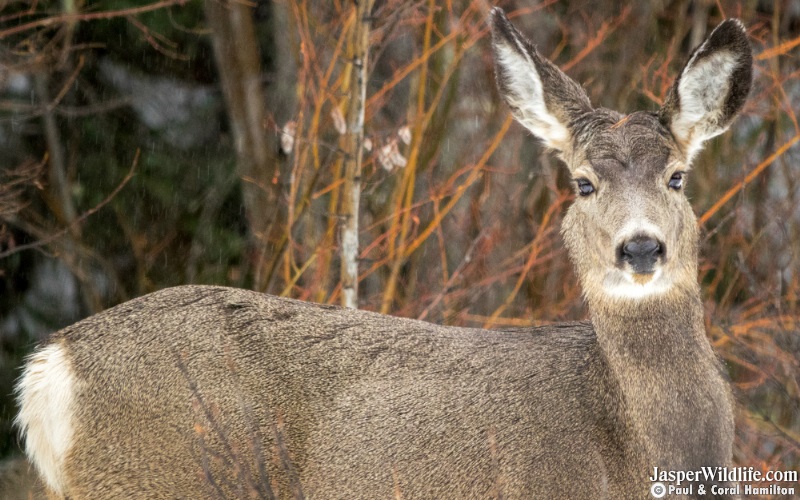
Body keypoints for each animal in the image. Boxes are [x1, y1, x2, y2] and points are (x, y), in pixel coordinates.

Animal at [15, 7, 752, 499]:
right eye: (583, 183)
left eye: (677, 177)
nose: (641, 247)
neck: (645, 452)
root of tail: (50, 367)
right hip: (162, 475)